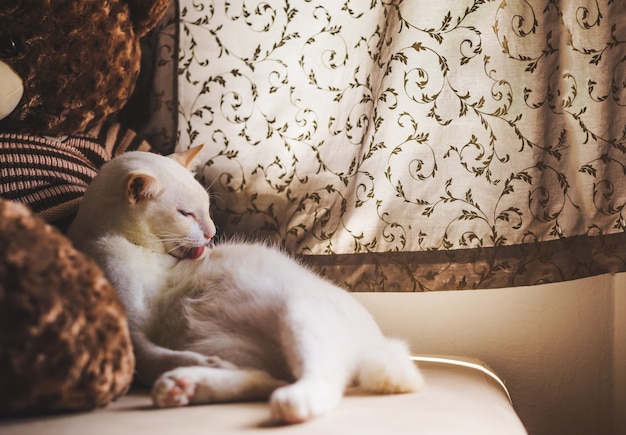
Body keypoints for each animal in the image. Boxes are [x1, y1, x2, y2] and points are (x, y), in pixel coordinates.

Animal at [68, 146, 422, 422]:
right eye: (185, 214)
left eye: (207, 209)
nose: (211, 232)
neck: (141, 250)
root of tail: (379, 344)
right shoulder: (129, 330)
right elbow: (152, 358)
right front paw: (190, 366)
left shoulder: (132, 333)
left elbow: (154, 358)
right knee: (266, 378)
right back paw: (187, 385)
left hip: (300, 314)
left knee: (319, 380)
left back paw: (288, 401)